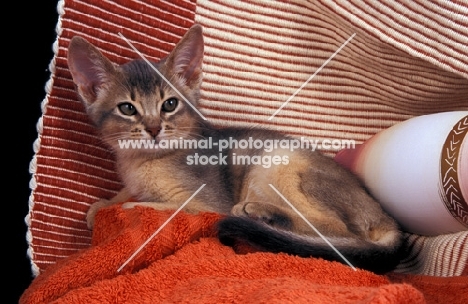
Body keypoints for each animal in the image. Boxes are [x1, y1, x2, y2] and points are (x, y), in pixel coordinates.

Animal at [67, 25, 404, 274]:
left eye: (170, 104)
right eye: (127, 108)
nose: (153, 129)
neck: (142, 161)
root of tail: (385, 216)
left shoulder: (204, 203)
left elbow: (155, 206)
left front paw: (123, 207)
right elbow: (121, 195)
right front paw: (103, 204)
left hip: (275, 159)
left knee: (336, 232)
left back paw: (259, 214)